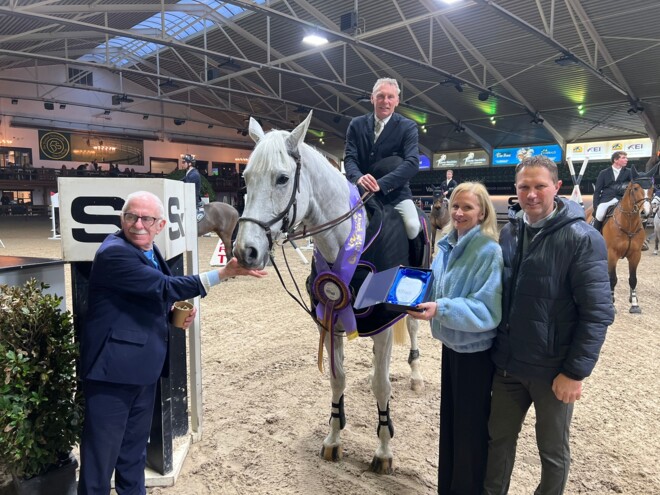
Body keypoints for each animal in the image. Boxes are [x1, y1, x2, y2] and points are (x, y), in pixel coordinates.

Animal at [588, 169, 656, 312]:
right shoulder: (612, 254)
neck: (628, 223)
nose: (645, 213)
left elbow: (633, 279)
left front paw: (634, 304)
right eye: (635, 188)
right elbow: (612, 278)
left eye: (653, 189)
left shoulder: (635, 255)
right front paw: (612, 304)